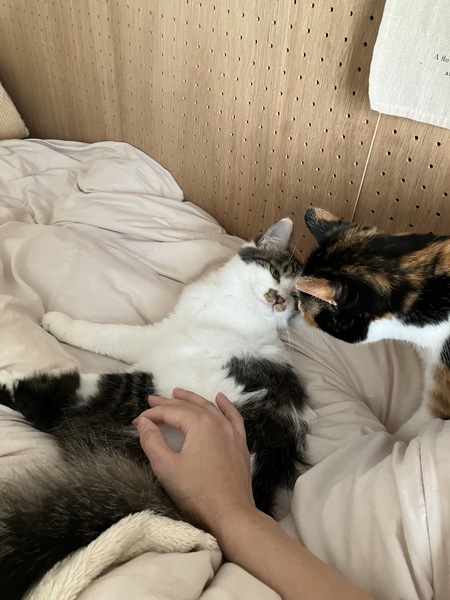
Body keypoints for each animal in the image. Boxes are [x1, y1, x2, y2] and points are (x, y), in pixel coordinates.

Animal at [0, 217, 312, 600]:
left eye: (294, 299)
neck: (232, 301)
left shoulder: (153, 336)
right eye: (274, 272)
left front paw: (57, 322)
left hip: (142, 392)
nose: (278, 299)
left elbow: (104, 333)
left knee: (54, 405)